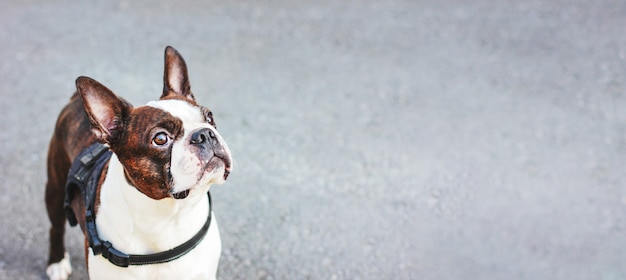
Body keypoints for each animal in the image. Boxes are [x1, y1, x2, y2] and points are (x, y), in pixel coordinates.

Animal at [44, 46, 232, 280]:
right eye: (160, 139)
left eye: (209, 118)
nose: (205, 134)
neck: (169, 216)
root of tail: (74, 101)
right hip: (55, 186)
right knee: (56, 226)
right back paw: (57, 262)